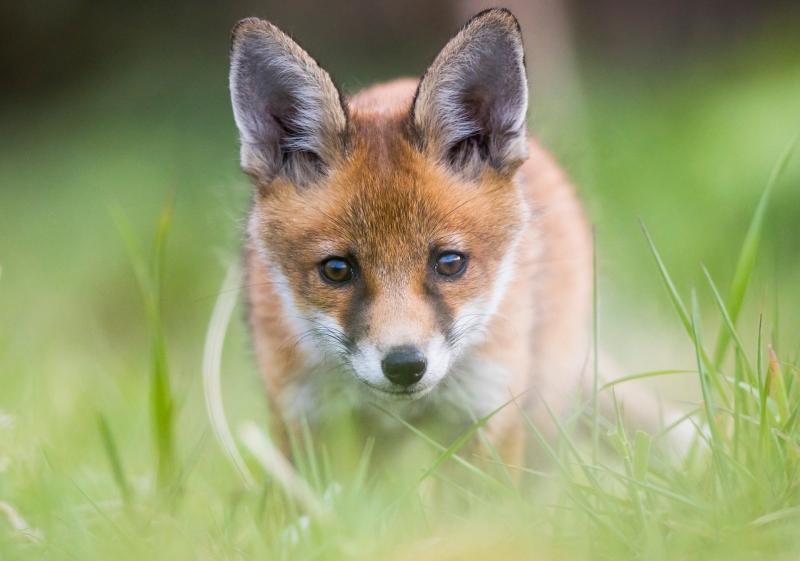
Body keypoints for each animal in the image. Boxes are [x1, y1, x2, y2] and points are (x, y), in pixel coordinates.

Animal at [229, 8, 688, 467]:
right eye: (337, 269)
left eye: (449, 263)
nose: (404, 365)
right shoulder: (305, 417)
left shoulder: (488, 409)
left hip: (542, 414)